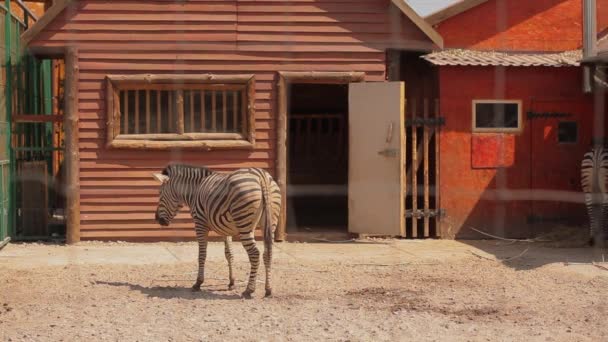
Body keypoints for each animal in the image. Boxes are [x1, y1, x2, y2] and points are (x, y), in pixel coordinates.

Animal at [154, 164, 282, 298]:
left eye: (160, 194)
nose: (157, 219)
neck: (195, 190)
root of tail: (261, 175)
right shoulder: (226, 229)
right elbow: (229, 254)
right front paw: (231, 282)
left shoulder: (200, 223)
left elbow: (202, 254)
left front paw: (198, 283)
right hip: (270, 222)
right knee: (268, 253)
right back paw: (268, 289)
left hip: (244, 223)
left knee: (255, 253)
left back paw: (249, 290)